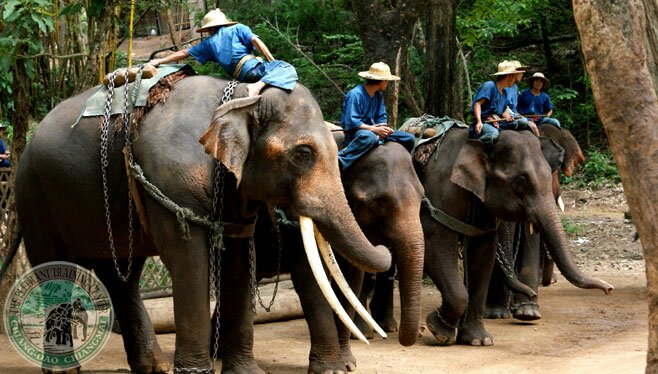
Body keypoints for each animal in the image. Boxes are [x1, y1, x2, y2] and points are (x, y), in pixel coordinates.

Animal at [15, 76, 392, 374]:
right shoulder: (171, 184)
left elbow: (237, 260)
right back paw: (65, 371)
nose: (382, 245)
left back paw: (155, 367)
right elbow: (189, 259)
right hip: (34, 197)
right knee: (54, 268)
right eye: (303, 154)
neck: (240, 96)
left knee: (122, 274)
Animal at [418, 127, 612, 346]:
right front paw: (439, 330)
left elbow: (484, 252)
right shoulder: (440, 193)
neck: (481, 143)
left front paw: (479, 340)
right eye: (520, 181)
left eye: (550, 175)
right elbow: (435, 242)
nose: (609, 289)